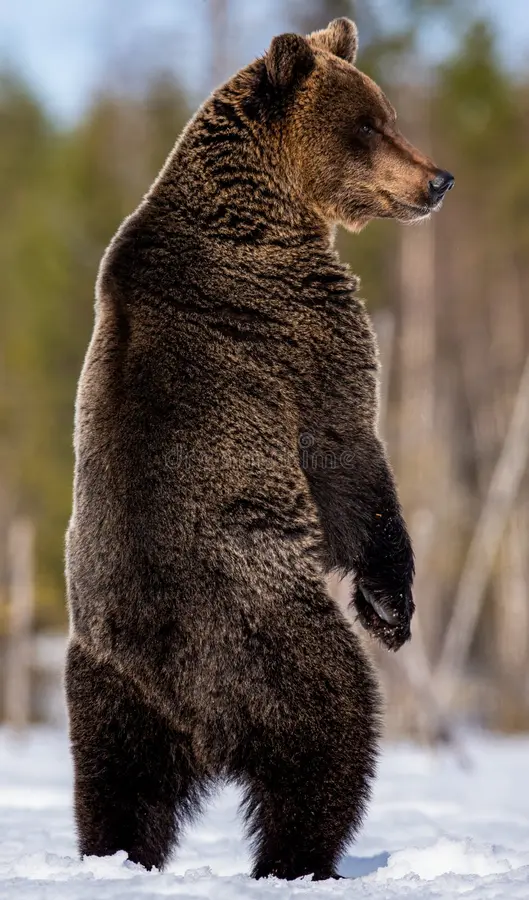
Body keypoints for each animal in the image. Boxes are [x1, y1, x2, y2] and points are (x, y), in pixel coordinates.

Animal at [65, 17, 454, 881]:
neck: (267, 209)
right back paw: (304, 857)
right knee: (329, 733)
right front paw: (390, 606)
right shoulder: (305, 333)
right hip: (263, 634)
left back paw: (117, 855)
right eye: (369, 124)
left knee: (117, 790)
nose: (438, 179)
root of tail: (186, 705)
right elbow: (349, 456)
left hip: (103, 688)